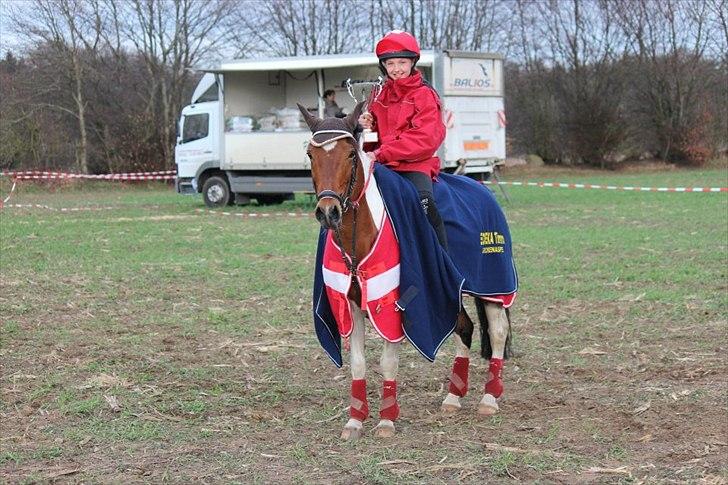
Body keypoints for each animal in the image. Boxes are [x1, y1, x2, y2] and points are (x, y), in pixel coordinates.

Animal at [298, 102, 516, 438]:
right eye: (311, 154)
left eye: (350, 154)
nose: (328, 212)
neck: (362, 231)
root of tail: (482, 189)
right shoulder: (350, 302)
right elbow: (358, 362)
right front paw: (355, 421)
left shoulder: (391, 303)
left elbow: (388, 362)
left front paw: (386, 420)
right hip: (451, 293)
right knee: (465, 328)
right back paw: (453, 397)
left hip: (492, 287)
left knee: (498, 332)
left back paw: (489, 398)